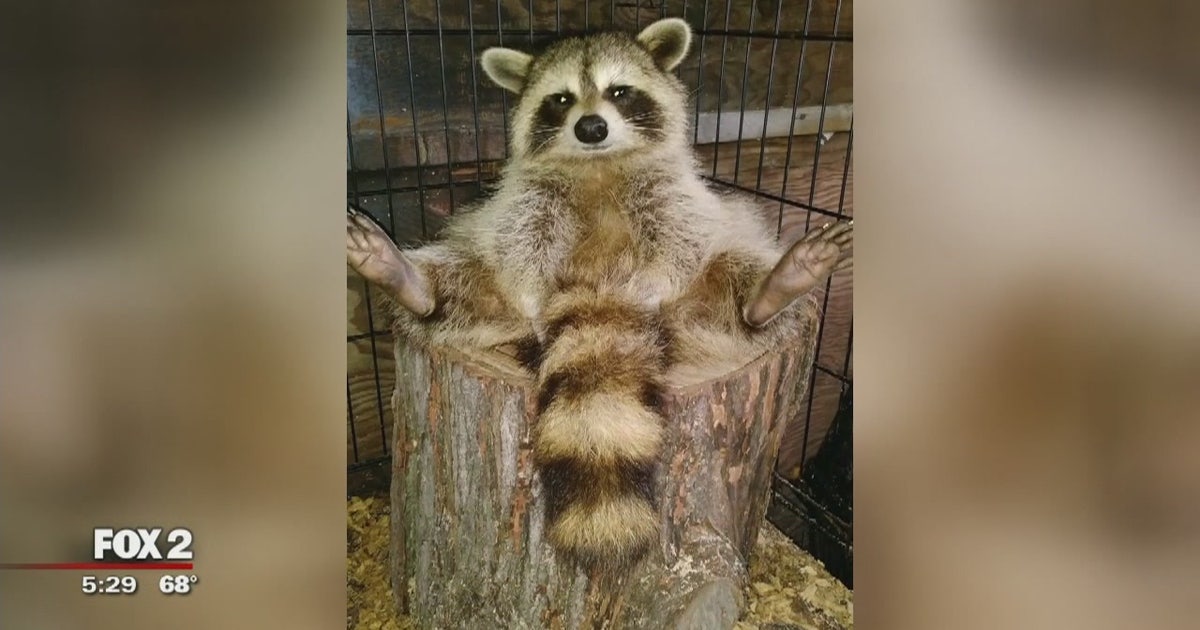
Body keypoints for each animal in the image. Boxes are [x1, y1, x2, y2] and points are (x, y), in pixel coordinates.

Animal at [346, 18, 852, 575]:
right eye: (562, 99)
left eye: (619, 91)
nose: (591, 128)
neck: (600, 164)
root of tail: (601, 293)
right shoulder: (528, 200)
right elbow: (521, 244)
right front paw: (532, 295)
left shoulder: (672, 195)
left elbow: (679, 241)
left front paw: (663, 282)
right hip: (483, 286)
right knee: (468, 275)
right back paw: (411, 283)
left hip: (703, 295)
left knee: (731, 274)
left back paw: (771, 290)